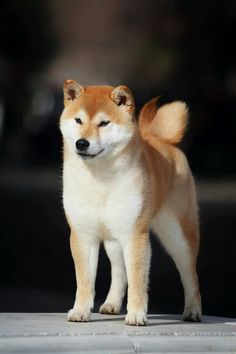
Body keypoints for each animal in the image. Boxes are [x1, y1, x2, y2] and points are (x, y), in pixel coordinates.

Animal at [60, 80, 202, 326]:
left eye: (104, 123)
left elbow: (137, 280)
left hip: (179, 238)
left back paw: (193, 310)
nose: (81, 143)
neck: (100, 178)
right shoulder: (83, 234)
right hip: (114, 239)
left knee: (190, 275)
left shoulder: (135, 235)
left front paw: (136, 314)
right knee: (119, 272)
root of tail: (160, 139)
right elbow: (85, 280)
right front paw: (80, 311)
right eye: (78, 120)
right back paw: (112, 304)